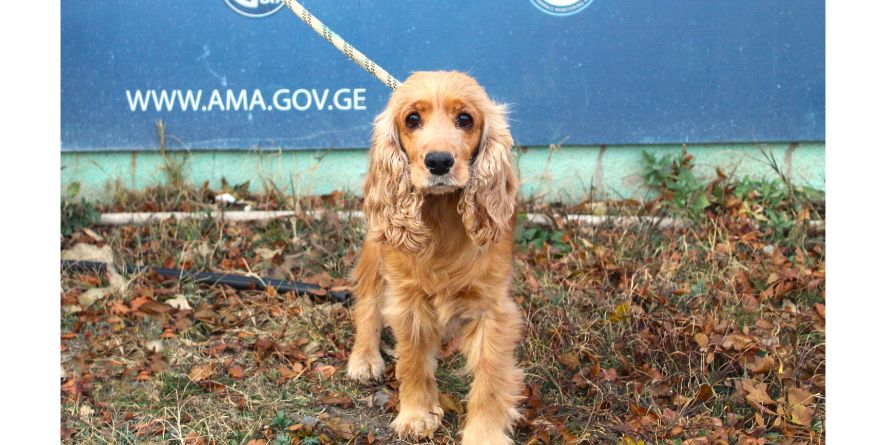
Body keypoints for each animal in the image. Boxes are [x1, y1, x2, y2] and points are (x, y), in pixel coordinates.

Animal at [346, 71, 528, 442]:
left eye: (466, 119)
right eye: (412, 119)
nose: (440, 161)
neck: (442, 214)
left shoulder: (492, 307)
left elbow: (491, 377)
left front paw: (484, 434)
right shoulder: (409, 300)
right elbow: (414, 361)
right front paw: (417, 415)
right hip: (376, 245)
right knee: (368, 299)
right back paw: (365, 358)